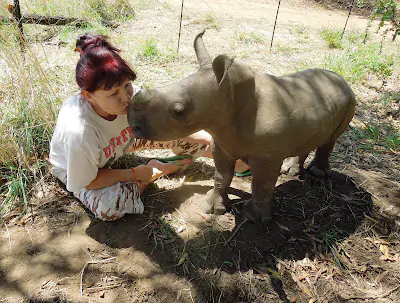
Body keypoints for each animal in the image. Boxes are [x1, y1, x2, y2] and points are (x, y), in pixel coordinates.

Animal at [128, 30, 356, 223]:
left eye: (178, 111)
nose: (132, 124)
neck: (228, 95)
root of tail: (342, 79)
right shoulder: (221, 143)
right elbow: (221, 176)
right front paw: (214, 208)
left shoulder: (267, 156)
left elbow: (261, 185)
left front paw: (253, 218)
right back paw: (290, 171)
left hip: (350, 100)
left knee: (330, 139)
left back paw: (317, 174)